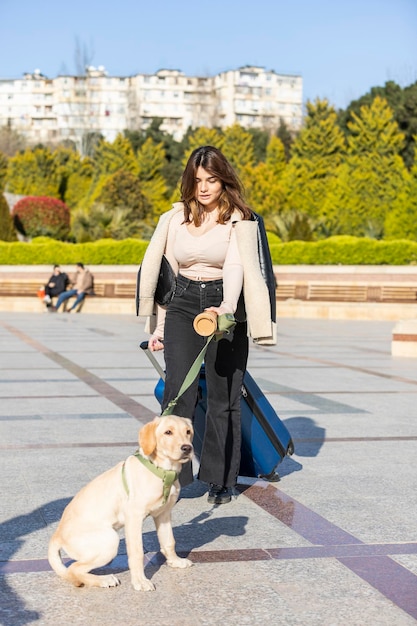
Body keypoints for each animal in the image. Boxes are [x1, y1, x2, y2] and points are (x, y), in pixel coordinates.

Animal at [48, 414, 193, 588]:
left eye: (188, 432)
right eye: (168, 432)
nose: (187, 448)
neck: (164, 471)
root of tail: (57, 535)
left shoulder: (163, 514)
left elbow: (169, 541)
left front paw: (175, 561)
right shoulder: (134, 517)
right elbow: (137, 552)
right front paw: (139, 581)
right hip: (109, 540)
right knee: (74, 569)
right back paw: (104, 580)